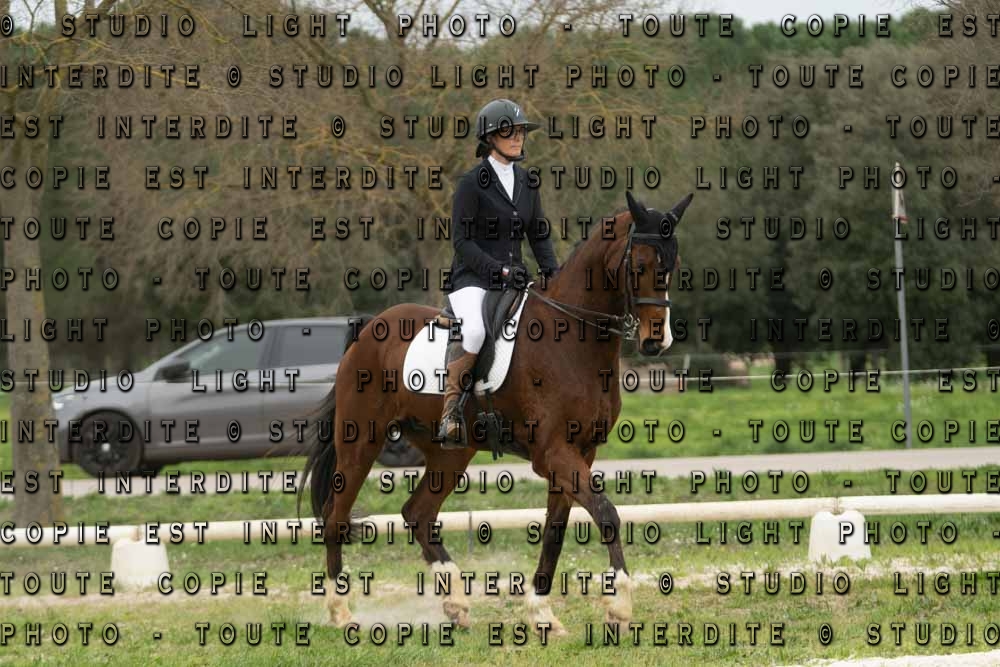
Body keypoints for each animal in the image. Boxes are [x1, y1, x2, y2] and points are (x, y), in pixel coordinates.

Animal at [298, 189, 692, 637]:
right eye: (639, 265)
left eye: (673, 266)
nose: (656, 341)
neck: (573, 336)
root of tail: (368, 328)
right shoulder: (553, 452)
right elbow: (606, 512)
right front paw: (619, 607)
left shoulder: (580, 452)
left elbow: (556, 529)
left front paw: (542, 613)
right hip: (362, 439)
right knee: (336, 516)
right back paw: (341, 612)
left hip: (450, 452)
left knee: (418, 513)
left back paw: (456, 604)